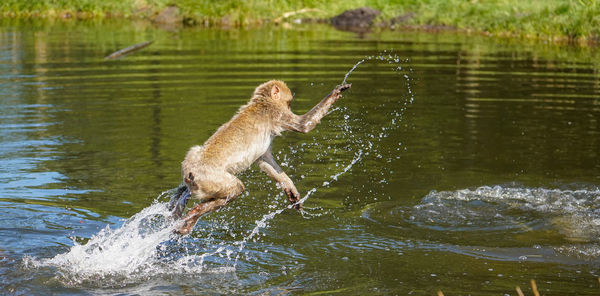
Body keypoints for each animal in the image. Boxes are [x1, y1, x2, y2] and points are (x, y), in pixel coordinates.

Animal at [168, 80, 352, 235]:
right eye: (289, 103)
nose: (290, 108)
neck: (261, 102)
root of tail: (190, 172)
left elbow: (265, 161)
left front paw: (290, 188)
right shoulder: (277, 113)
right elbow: (303, 125)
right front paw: (335, 92)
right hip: (210, 178)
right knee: (236, 188)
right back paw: (195, 213)